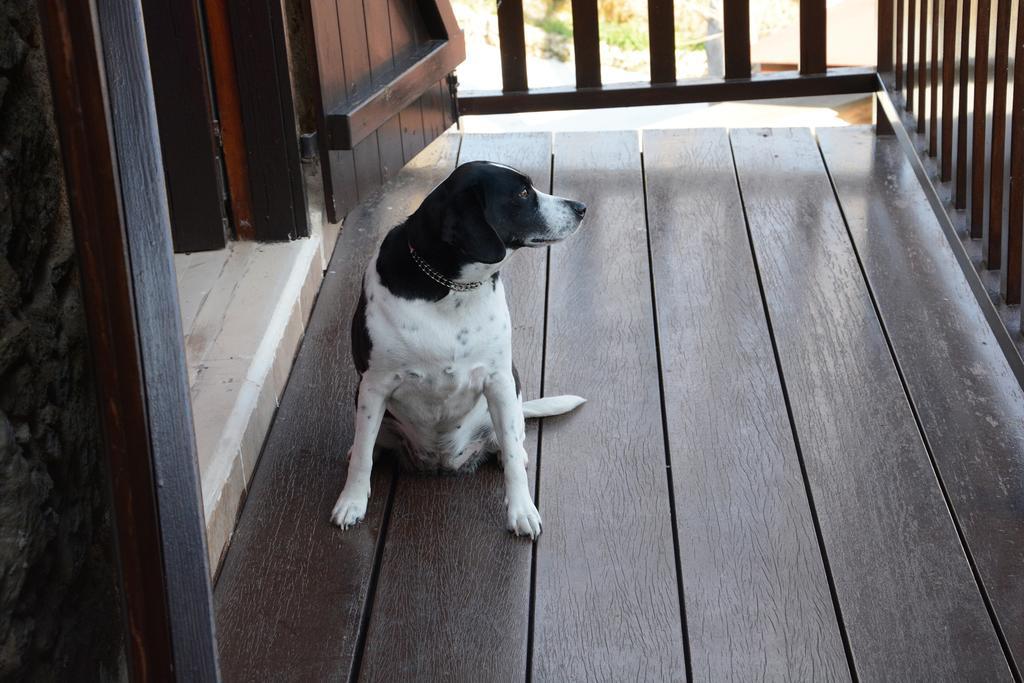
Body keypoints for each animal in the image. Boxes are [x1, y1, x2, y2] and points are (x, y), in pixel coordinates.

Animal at [327, 160, 585, 540]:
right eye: (523, 193)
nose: (581, 208)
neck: (451, 288)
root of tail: (442, 460)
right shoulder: (374, 386)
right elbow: (363, 455)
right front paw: (352, 502)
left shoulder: (499, 380)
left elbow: (512, 459)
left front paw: (522, 510)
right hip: (362, 397)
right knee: (368, 444)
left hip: (511, 391)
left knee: (512, 438)